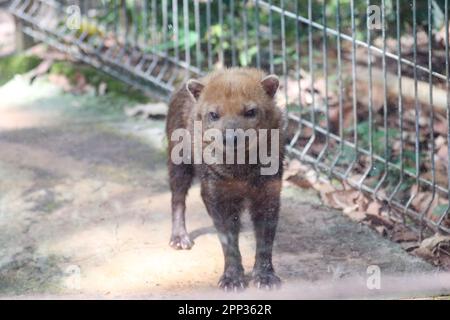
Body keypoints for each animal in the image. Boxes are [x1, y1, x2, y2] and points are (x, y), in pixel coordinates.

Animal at [167, 69, 284, 292]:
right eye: (214, 114)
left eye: (250, 111)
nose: (231, 138)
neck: (241, 173)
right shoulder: (215, 193)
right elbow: (228, 239)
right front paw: (232, 279)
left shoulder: (269, 191)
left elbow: (265, 237)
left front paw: (265, 277)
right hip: (178, 162)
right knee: (177, 197)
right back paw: (179, 239)